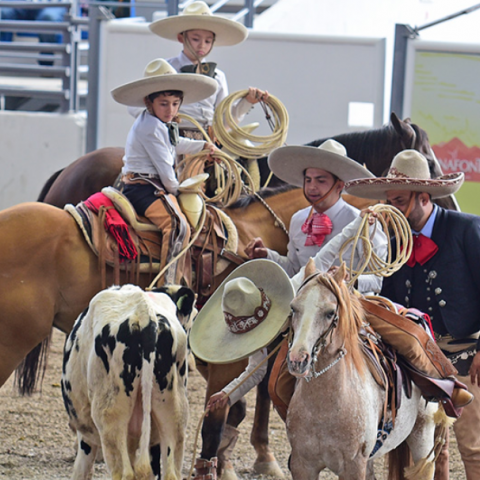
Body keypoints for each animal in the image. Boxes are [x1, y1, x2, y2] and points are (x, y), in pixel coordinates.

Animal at [61, 284, 195, 480]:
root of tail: (145, 312)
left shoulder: (86, 436)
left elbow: (81, 471)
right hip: (174, 413)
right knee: (171, 473)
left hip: (110, 417)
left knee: (123, 472)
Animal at [284, 262, 438, 480]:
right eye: (293, 307)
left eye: (330, 312)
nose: (298, 360)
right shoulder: (302, 464)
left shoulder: (353, 465)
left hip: (422, 433)